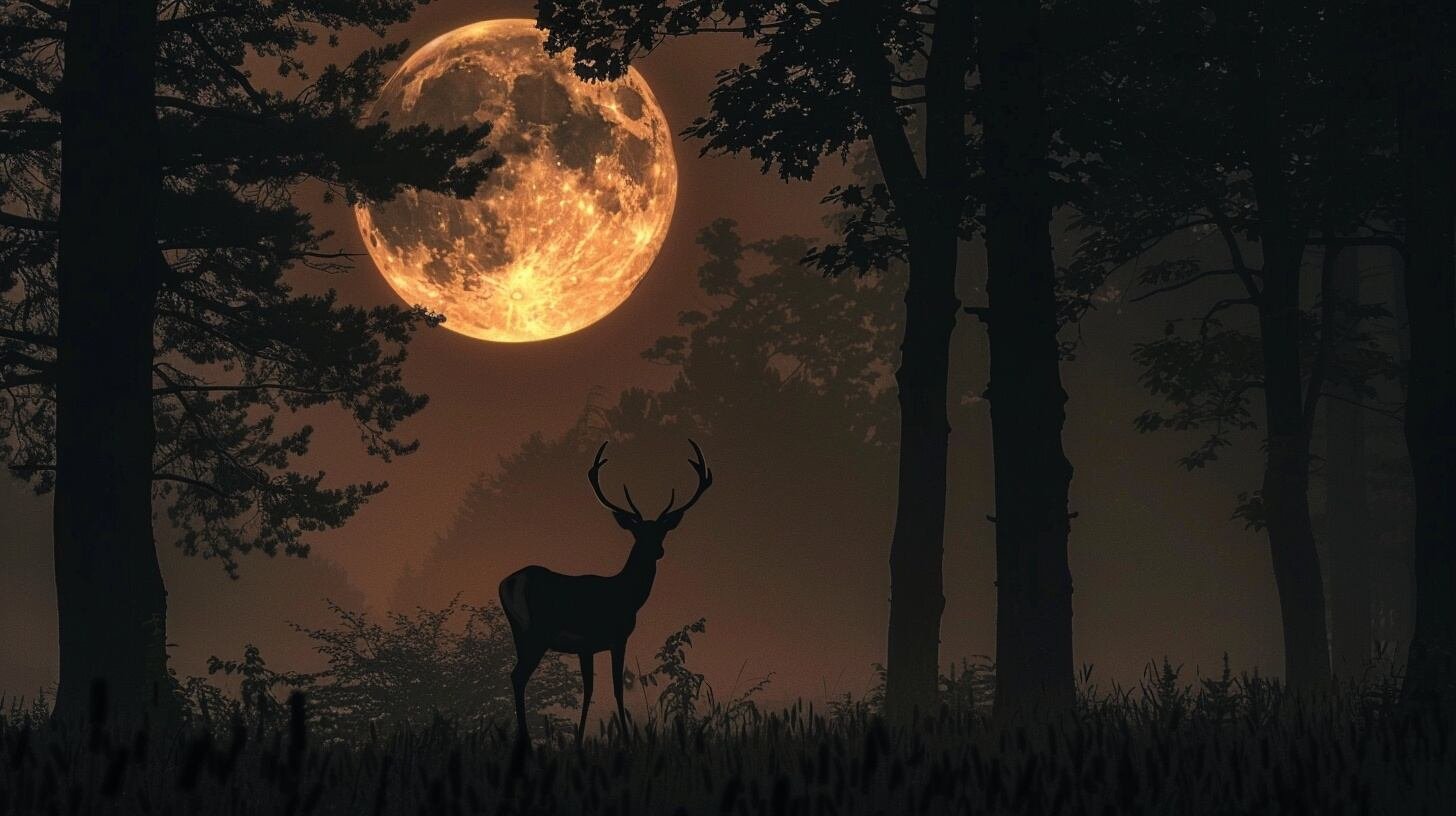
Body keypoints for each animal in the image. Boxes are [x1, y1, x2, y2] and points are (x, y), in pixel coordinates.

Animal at [498, 439, 713, 748]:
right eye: (637, 532)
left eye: (662, 531)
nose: (657, 551)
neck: (626, 596)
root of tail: (511, 582)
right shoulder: (616, 636)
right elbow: (616, 688)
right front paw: (626, 738)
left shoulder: (586, 646)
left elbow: (588, 689)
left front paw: (578, 741)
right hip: (538, 632)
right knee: (518, 676)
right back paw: (524, 740)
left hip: (519, 631)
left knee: (516, 675)